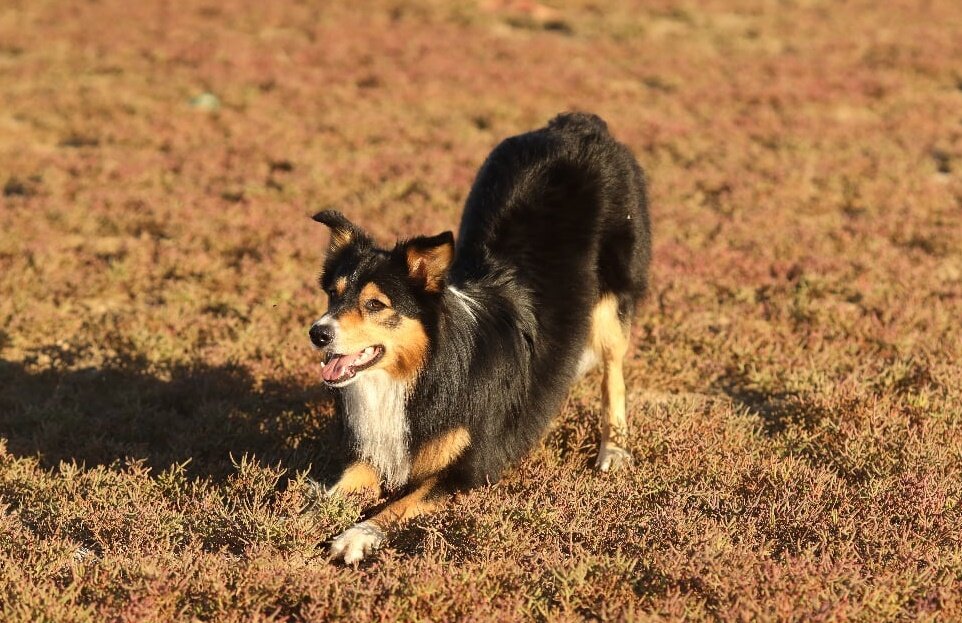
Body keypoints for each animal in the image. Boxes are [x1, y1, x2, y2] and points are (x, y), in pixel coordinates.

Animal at [312, 112, 648, 564]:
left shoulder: (470, 467)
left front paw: (356, 535)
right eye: (333, 294)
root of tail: (577, 123)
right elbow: (337, 488)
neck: (422, 372)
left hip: (612, 302)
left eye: (376, 304)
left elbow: (395, 505)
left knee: (614, 372)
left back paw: (613, 448)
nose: (317, 333)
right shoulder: (379, 449)